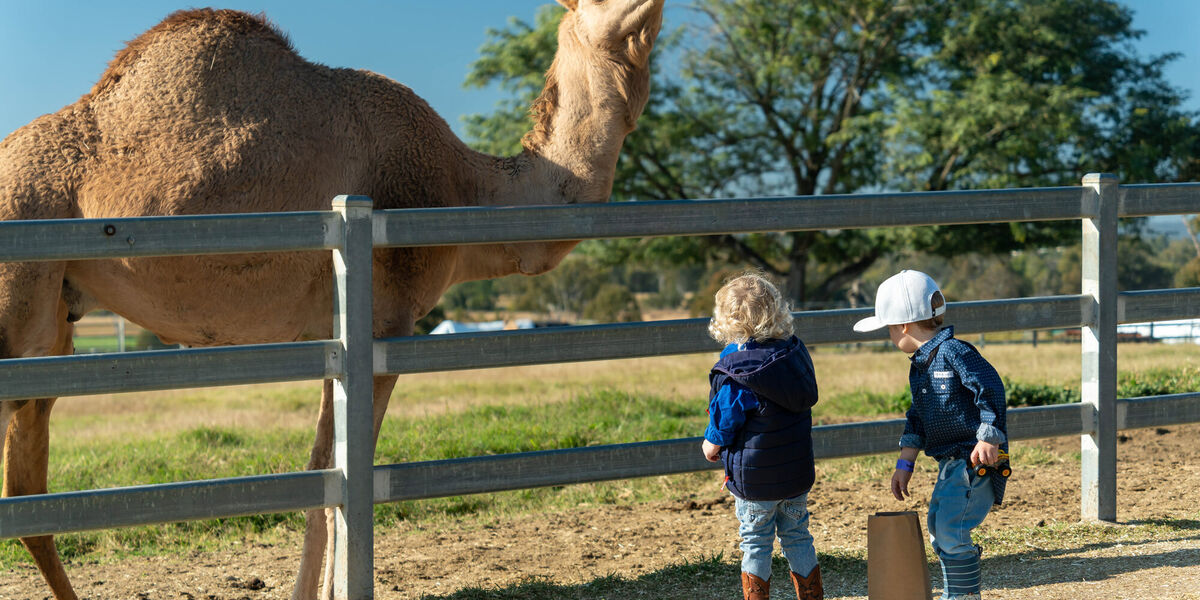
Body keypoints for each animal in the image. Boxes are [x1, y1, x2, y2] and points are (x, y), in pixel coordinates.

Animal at [0, 1, 665, 598]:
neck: (467, 187)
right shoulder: (385, 320)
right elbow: (347, 470)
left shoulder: (332, 332)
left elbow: (324, 470)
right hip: (17, 297)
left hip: (54, 324)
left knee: (29, 488)